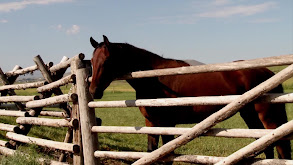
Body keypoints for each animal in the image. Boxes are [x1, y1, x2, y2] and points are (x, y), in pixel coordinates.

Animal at [88, 35, 290, 160]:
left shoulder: (167, 123)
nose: (93, 90)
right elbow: (151, 150)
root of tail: (269, 72)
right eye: (91, 61)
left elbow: (166, 154)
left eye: (107, 61)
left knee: (280, 144)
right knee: (266, 144)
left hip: (267, 117)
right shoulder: (151, 122)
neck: (154, 78)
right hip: (249, 115)